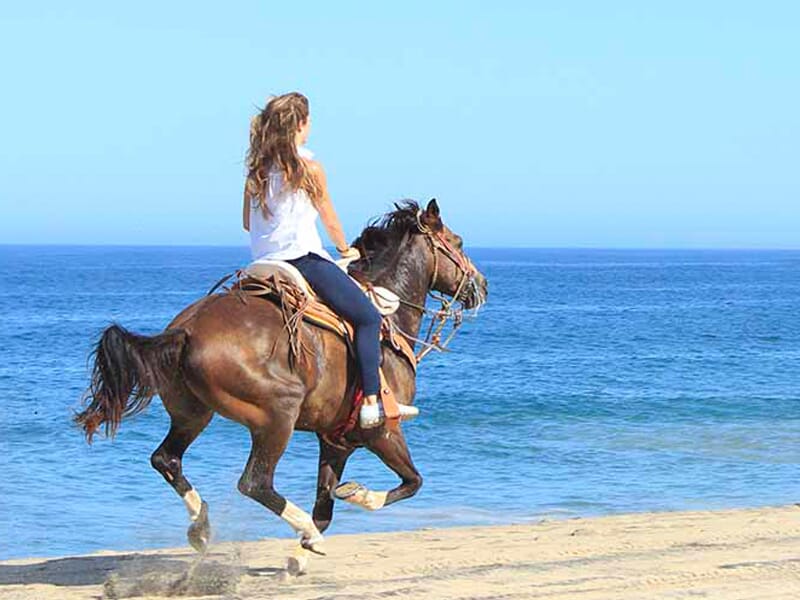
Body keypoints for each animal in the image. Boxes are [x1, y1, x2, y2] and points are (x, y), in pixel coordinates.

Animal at [75, 200, 488, 568]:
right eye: (458, 242)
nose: (481, 285)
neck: (389, 316)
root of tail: (185, 331)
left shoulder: (336, 441)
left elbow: (326, 506)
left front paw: (301, 555)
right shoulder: (381, 432)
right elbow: (412, 481)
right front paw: (356, 498)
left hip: (193, 413)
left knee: (166, 459)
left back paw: (202, 526)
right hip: (278, 415)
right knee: (254, 482)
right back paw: (281, 523)